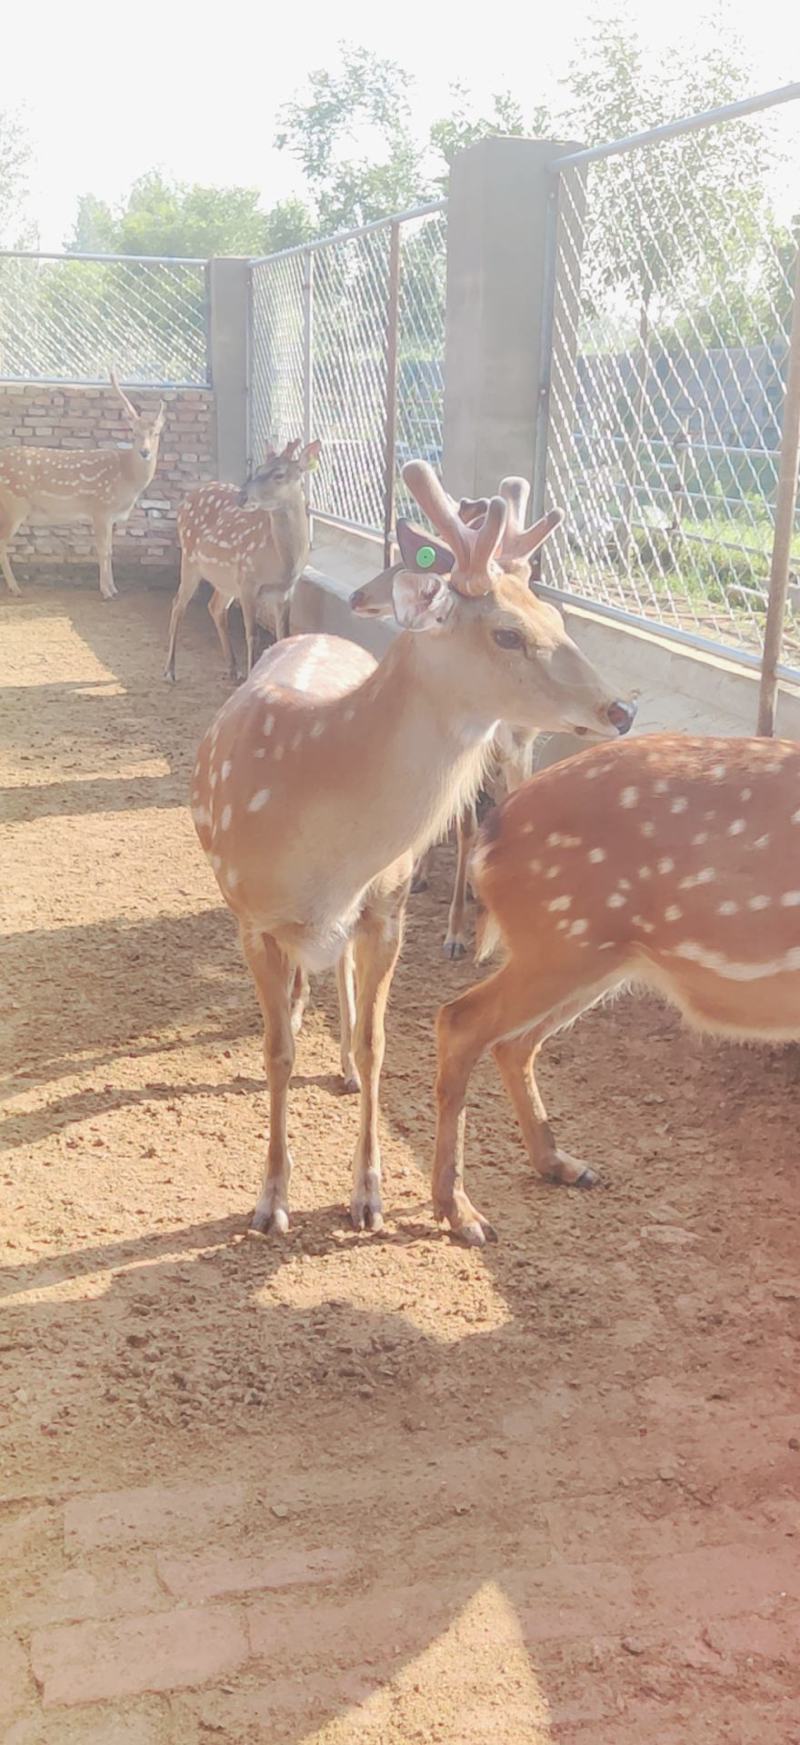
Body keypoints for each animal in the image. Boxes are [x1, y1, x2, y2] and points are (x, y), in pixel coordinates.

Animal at [0, 370, 165, 599]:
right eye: (134, 432)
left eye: (156, 433)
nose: (145, 452)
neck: (127, 477)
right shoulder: (100, 508)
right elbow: (103, 550)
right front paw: (106, 592)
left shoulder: (110, 516)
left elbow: (110, 551)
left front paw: (114, 588)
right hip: (14, 505)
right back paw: (16, 588)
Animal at [164, 440, 319, 683]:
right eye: (258, 469)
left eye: (279, 473)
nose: (242, 497)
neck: (283, 562)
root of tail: (187, 498)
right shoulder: (248, 580)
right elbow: (252, 635)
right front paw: (252, 677)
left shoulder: (286, 590)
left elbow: (284, 636)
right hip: (189, 560)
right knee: (178, 604)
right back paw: (170, 670)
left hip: (225, 580)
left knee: (215, 606)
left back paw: (232, 667)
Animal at [349, 477, 563, 955]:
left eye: (408, 564)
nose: (356, 595)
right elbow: (464, 827)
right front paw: (455, 932)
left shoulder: (521, 748)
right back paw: (428, 876)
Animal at [431, 731, 800, 1246]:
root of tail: (495, 826)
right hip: (564, 941)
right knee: (461, 1021)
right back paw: (462, 1211)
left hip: (593, 956)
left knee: (513, 1042)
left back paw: (561, 1165)